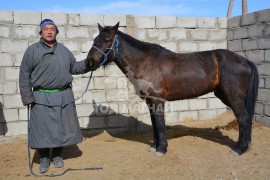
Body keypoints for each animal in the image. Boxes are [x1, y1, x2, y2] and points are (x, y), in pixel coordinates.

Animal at [87, 22, 260, 157]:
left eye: (107, 40)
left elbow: (160, 124)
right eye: (94, 39)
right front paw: (154, 146)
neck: (145, 62)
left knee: (244, 119)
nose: (89, 62)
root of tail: (245, 61)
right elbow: (155, 124)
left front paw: (161, 149)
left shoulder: (157, 100)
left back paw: (238, 149)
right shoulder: (150, 102)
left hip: (233, 97)